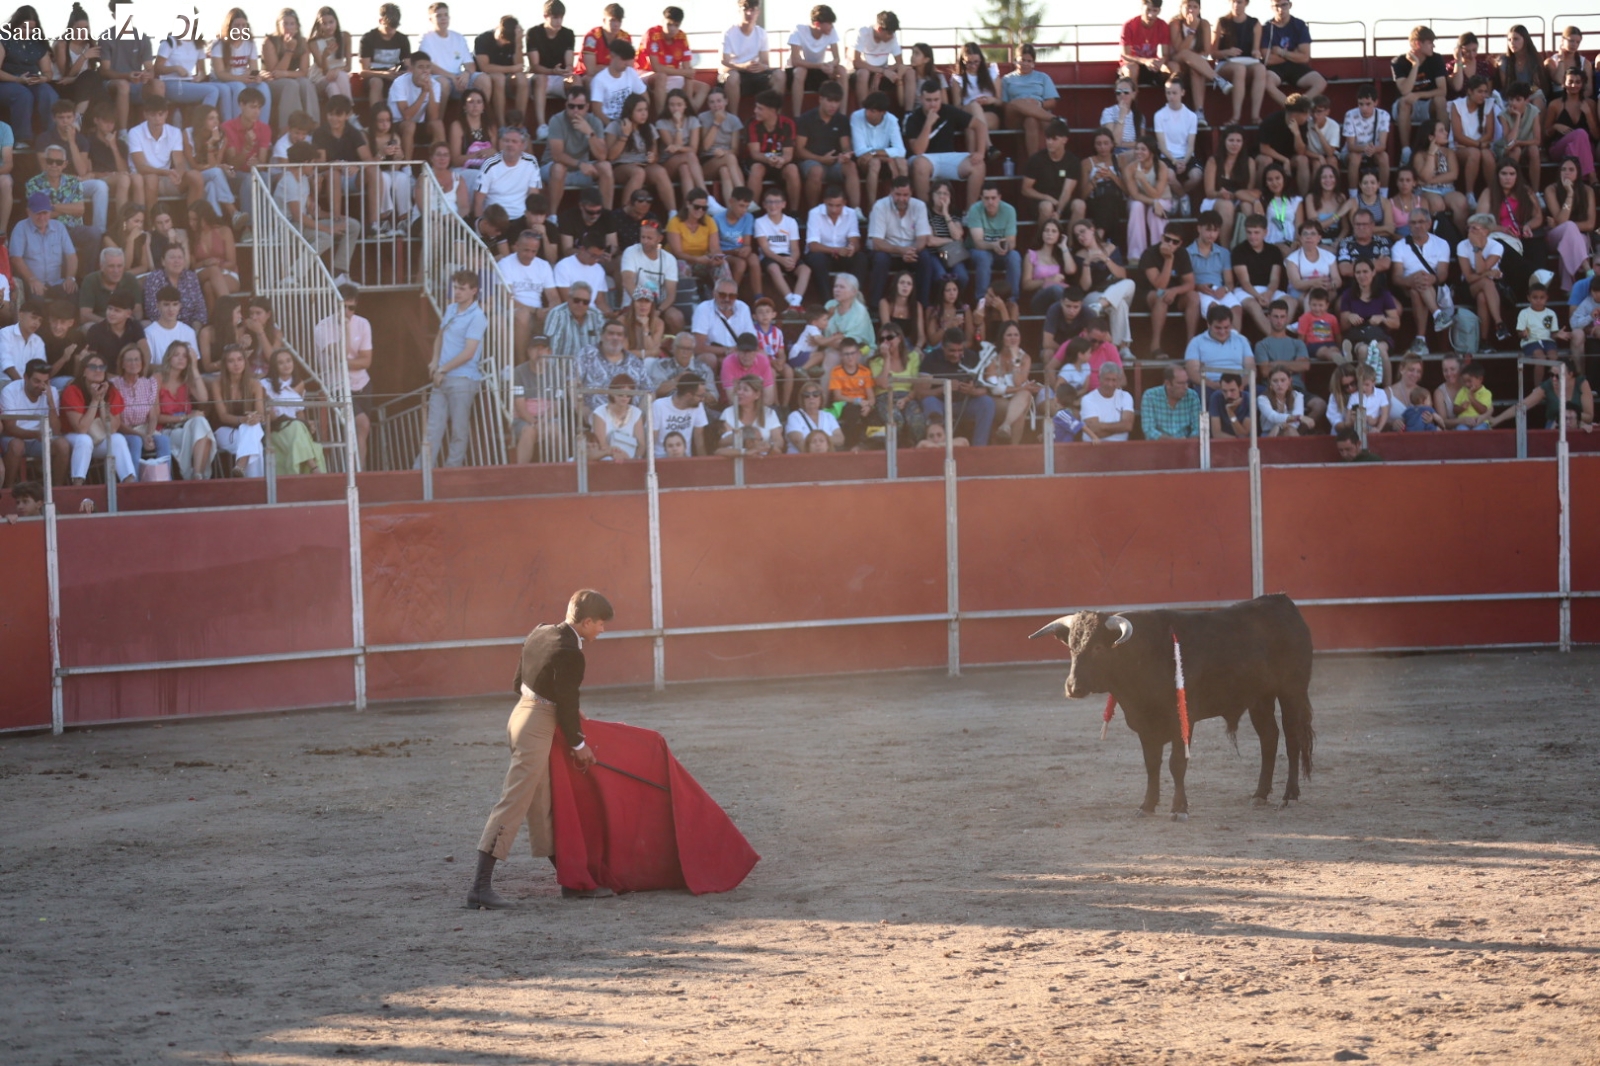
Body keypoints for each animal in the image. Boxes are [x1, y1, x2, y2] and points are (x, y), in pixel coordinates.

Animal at [1030, 593, 1314, 819]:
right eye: (1072, 648)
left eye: (1098, 647)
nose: (1073, 687)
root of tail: (1282, 601)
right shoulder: (1145, 725)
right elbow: (1152, 764)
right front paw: (1146, 806)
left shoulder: (1182, 720)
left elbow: (1176, 763)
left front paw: (1179, 809)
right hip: (1260, 698)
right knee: (1269, 738)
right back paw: (1259, 795)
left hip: (1292, 691)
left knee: (1292, 739)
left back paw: (1289, 796)